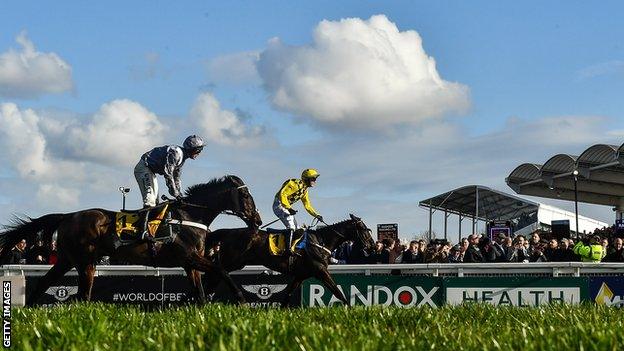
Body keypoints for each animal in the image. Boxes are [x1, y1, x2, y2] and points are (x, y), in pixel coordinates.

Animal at [0, 175, 260, 306]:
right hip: (85, 261)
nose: (257, 219)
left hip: (67, 259)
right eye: (246, 195)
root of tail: (68, 216)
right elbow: (221, 269)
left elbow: (200, 291)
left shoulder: (189, 263)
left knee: (47, 283)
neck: (189, 216)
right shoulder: (189, 256)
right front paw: (240, 299)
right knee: (82, 294)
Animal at [205, 214, 372, 306]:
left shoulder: (300, 275)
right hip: (233, 261)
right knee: (217, 273)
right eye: (365, 229)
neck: (321, 241)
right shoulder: (320, 271)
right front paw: (350, 310)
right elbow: (338, 292)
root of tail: (226, 232)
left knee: (215, 274)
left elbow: (287, 297)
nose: (371, 247)